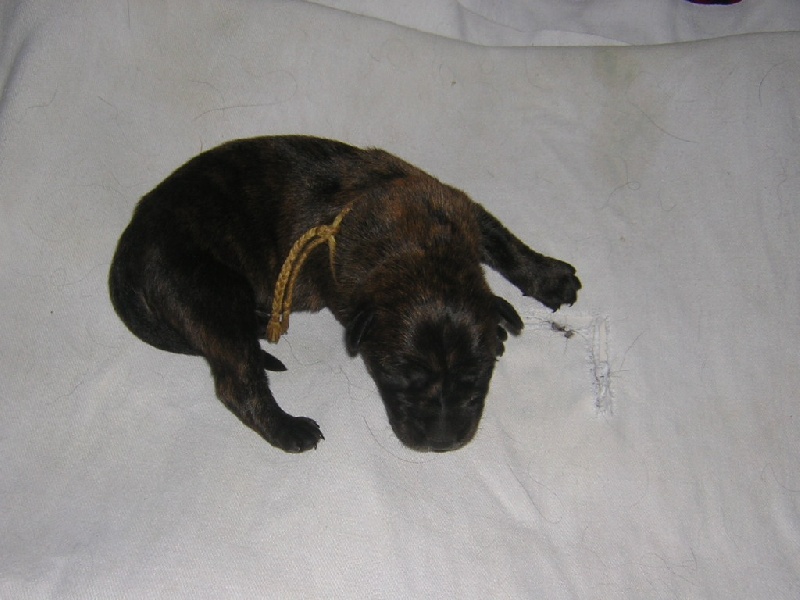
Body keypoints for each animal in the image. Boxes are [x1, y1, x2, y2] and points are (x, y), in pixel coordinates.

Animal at [109, 136, 580, 453]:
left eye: (476, 375)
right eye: (398, 377)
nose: (441, 442)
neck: (419, 253)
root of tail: (130, 244)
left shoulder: (459, 208)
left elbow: (505, 244)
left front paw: (549, 278)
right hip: (210, 293)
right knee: (236, 382)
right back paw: (289, 428)